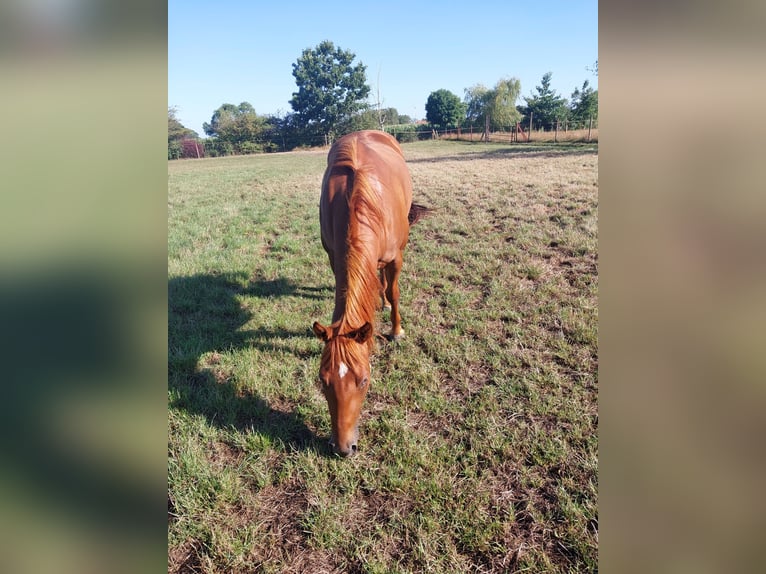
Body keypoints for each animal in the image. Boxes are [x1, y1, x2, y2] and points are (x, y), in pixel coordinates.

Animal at [312, 130, 428, 457]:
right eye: (322, 380)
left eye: (364, 381)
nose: (343, 448)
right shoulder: (334, 257)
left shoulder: (396, 257)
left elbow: (395, 290)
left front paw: (396, 329)